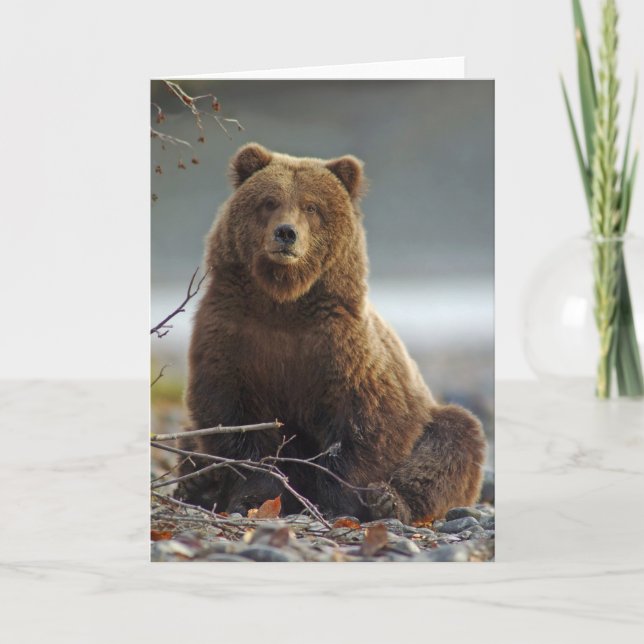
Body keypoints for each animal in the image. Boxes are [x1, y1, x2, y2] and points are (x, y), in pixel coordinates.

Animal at [174, 142, 486, 524]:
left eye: (311, 206)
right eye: (269, 201)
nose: (286, 233)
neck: (285, 301)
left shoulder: (340, 348)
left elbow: (362, 427)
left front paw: (337, 503)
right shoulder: (233, 335)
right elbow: (235, 421)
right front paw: (251, 497)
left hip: (429, 420)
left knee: (456, 437)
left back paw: (391, 499)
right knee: (190, 436)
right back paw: (196, 482)